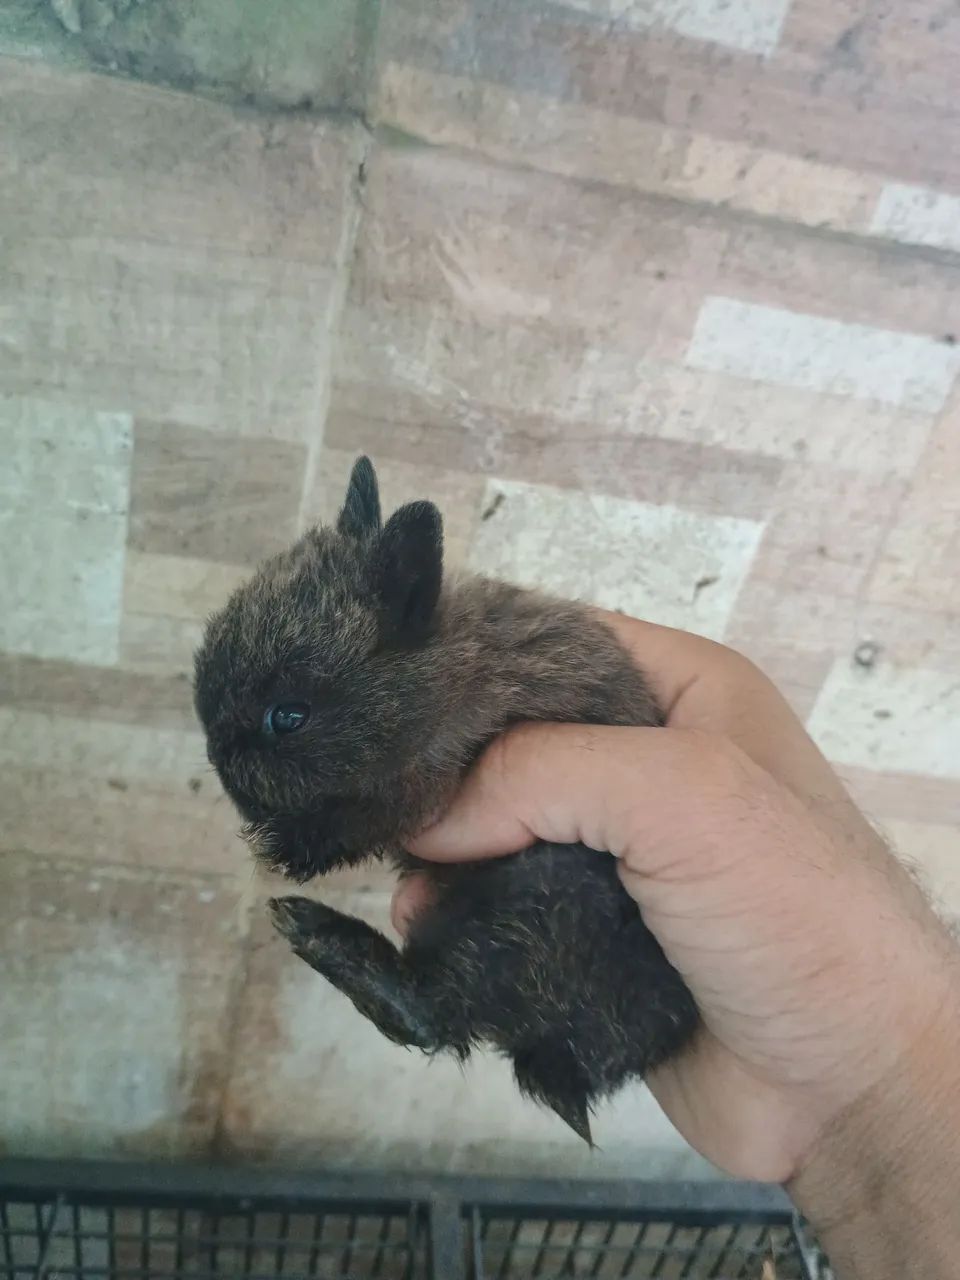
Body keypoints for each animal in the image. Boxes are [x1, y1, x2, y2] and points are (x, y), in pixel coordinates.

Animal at [194, 457, 699, 1142]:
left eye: (289, 716)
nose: (217, 757)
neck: (442, 673)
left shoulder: (429, 789)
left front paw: (283, 846)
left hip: (528, 903)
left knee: (436, 1015)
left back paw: (315, 930)